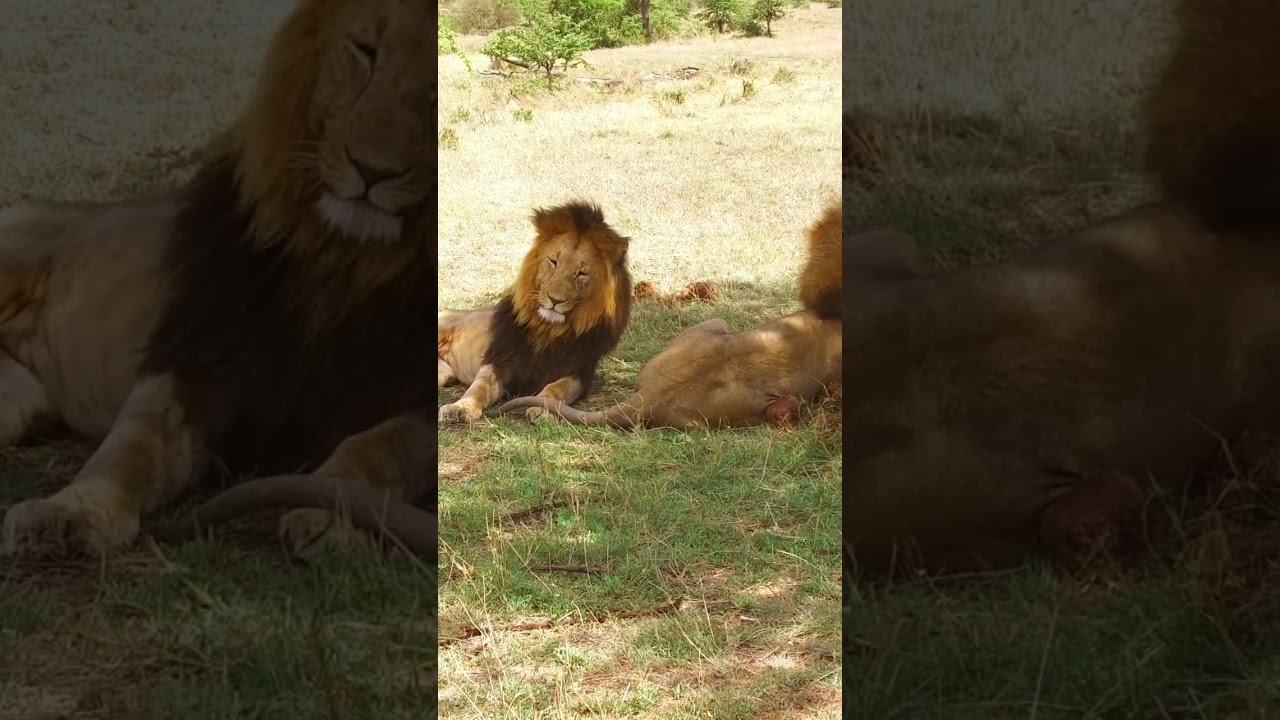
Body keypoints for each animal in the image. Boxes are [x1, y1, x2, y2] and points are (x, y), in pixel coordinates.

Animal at [0, 0, 438, 559]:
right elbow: (131, 446)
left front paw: (332, 513)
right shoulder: (202, 356)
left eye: (435, 84)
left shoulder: (418, 399)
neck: (343, 261)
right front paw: (70, 511)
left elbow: (379, 446)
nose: (372, 170)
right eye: (366, 50)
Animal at [437, 201, 633, 425]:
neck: (547, 329)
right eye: (553, 261)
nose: (555, 300)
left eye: (581, 273)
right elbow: (479, 387)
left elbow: (556, 388)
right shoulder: (500, 359)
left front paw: (542, 408)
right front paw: (459, 407)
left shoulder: (577, 372)